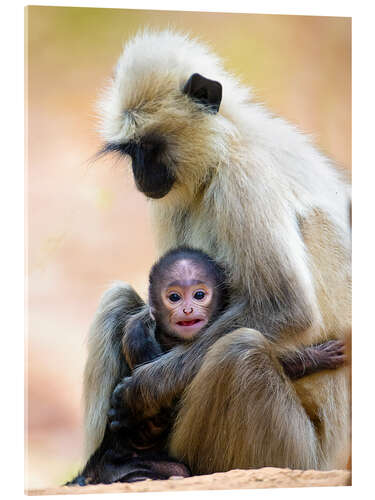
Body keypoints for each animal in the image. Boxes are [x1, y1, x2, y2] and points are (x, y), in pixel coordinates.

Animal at [85, 29, 352, 474]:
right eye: (132, 151)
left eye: (150, 148)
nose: (140, 174)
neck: (229, 141)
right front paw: (140, 331)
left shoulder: (244, 175)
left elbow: (286, 308)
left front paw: (142, 391)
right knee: (117, 298)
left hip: (294, 455)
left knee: (239, 352)